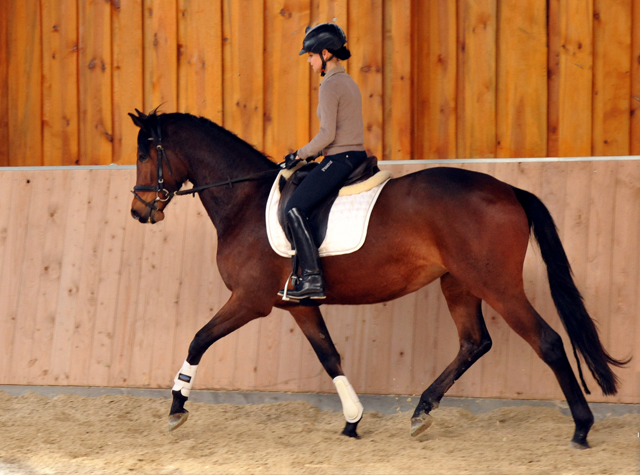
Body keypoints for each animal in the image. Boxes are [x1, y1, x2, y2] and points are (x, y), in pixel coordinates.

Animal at [129, 110, 624, 450]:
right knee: (474, 342)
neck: (244, 200)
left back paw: (581, 427)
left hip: (496, 285)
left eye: (143, 154)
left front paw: (176, 406)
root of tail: (509, 190)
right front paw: (352, 420)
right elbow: (330, 356)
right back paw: (422, 411)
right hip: (458, 283)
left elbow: (198, 338)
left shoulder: (251, 300)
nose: (139, 212)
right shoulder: (297, 304)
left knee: (548, 341)